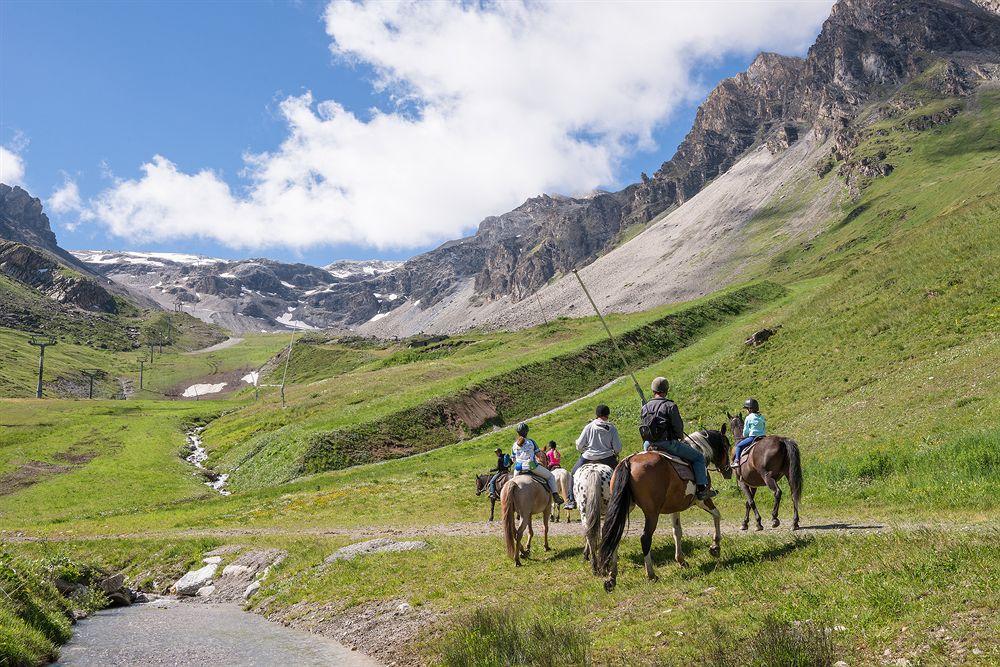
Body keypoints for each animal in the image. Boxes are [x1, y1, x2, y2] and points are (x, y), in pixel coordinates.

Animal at [596, 426, 732, 592]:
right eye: (727, 445)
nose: (729, 471)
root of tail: (629, 462)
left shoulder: (675, 507)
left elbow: (677, 532)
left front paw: (681, 560)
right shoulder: (702, 499)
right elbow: (717, 514)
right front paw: (715, 547)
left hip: (624, 508)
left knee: (614, 535)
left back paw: (612, 578)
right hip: (652, 513)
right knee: (645, 538)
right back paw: (651, 574)